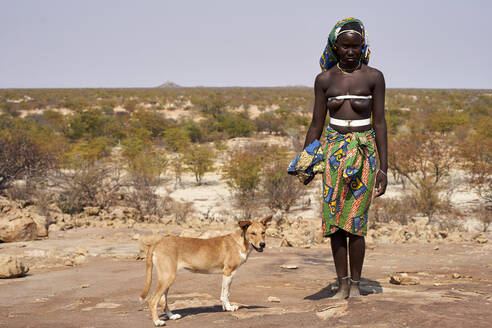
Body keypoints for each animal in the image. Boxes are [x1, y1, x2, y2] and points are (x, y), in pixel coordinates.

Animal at [140, 215, 272, 326]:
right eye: (252, 233)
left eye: (263, 232)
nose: (262, 244)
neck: (241, 242)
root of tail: (156, 243)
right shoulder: (228, 272)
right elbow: (226, 294)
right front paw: (229, 307)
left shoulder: (227, 274)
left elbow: (224, 293)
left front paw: (225, 307)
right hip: (168, 277)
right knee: (153, 300)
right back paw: (157, 321)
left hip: (167, 278)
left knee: (163, 301)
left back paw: (172, 316)